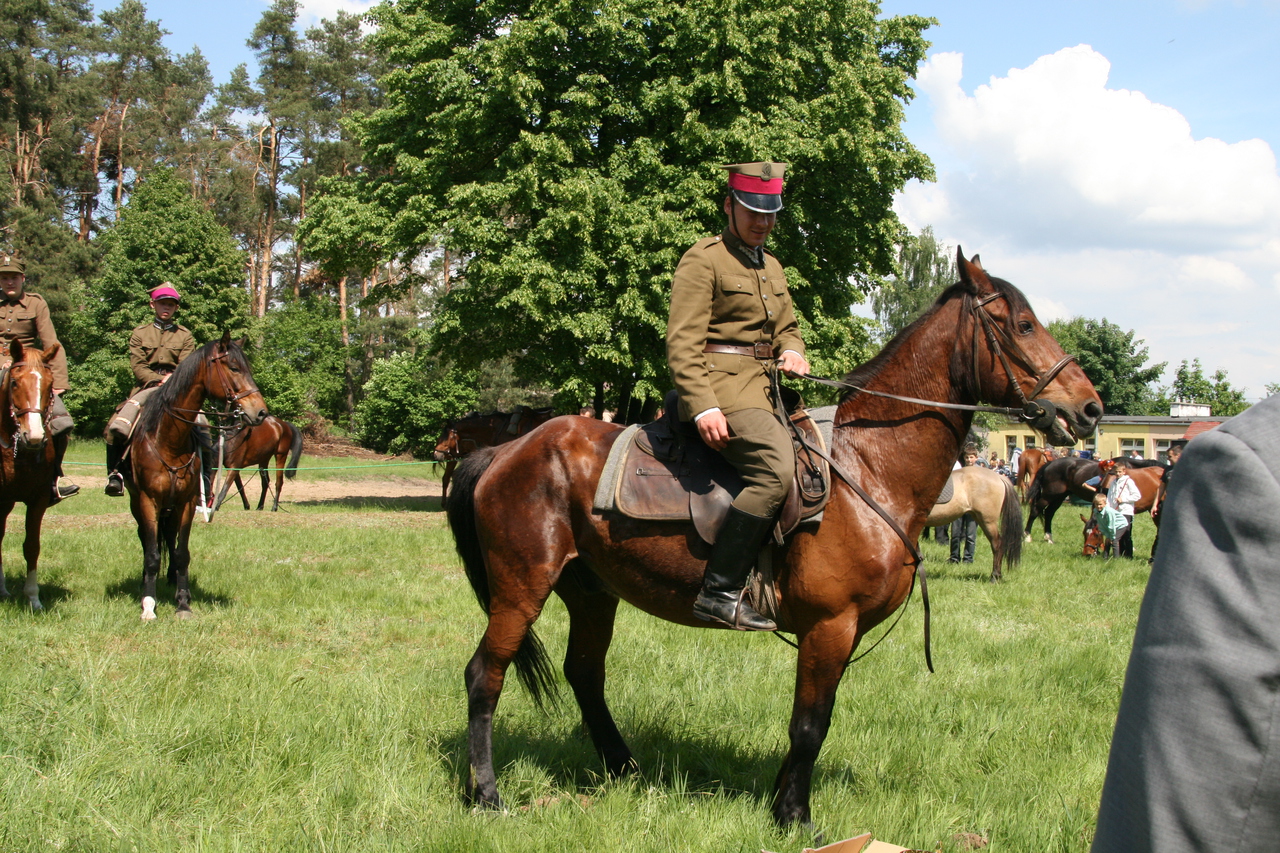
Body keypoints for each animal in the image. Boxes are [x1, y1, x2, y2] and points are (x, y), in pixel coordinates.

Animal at [123, 333, 266, 617]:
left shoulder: (187, 503)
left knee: (168, 538)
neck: (168, 441)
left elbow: (181, 553)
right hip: (139, 503)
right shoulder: (147, 501)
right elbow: (152, 553)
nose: (260, 412)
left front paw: (182, 603)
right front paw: (149, 605)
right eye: (234, 368)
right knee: (147, 539)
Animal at [442, 251, 1100, 824]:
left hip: (592, 592)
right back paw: (488, 794)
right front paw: (794, 816)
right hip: (521, 588)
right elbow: (810, 724)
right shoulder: (830, 626)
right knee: (484, 675)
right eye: (1022, 323)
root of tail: (507, 450)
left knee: (585, 674)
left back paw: (626, 769)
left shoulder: (837, 634)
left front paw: (781, 799)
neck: (867, 468)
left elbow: (812, 719)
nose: (1091, 409)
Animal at [1024, 455, 1167, 540]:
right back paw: (1027, 535)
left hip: (1059, 497)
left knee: (1049, 513)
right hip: (1050, 495)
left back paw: (1049, 537)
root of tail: (1049, 464)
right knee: (1036, 510)